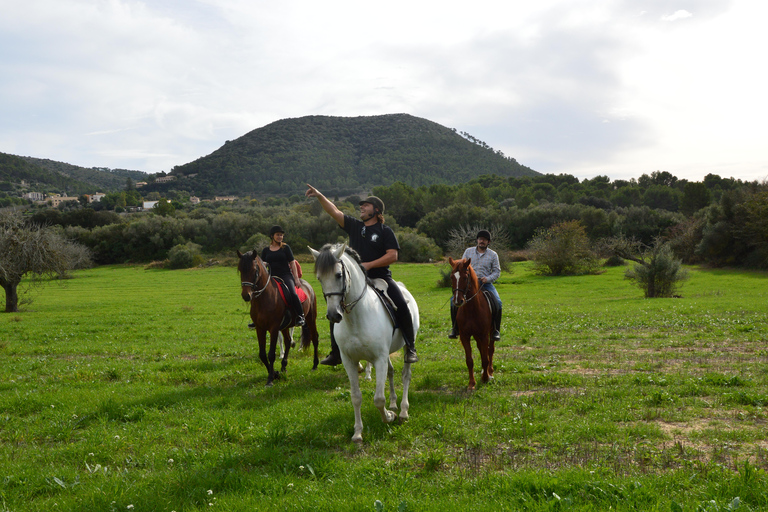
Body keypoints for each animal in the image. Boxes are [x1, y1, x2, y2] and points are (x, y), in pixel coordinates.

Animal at [234, 250, 318, 386]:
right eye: (240, 269)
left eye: (254, 270)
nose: (246, 295)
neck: (264, 298)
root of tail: (306, 285)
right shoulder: (260, 328)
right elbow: (262, 354)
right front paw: (275, 374)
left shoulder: (273, 328)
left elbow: (271, 354)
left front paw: (270, 380)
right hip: (285, 326)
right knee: (288, 341)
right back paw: (283, 366)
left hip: (310, 318)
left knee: (315, 338)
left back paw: (315, 365)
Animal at [308, 244, 420, 444]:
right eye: (319, 278)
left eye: (338, 275)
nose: (333, 315)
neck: (356, 318)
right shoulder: (349, 362)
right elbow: (356, 397)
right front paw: (358, 432)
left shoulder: (379, 359)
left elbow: (378, 399)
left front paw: (388, 417)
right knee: (391, 372)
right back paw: (394, 403)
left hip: (407, 346)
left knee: (406, 375)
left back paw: (403, 412)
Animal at [448, 258, 496, 390]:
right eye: (451, 277)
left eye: (465, 278)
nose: (458, 301)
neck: (471, 309)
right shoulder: (465, 336)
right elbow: (469, 360)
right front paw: (471, 383)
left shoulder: (484, 335)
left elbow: (485, 358)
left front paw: (485, 378)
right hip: (476, 335)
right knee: (481, 349)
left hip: (491, 332)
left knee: (490, 350)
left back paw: (490, 372)